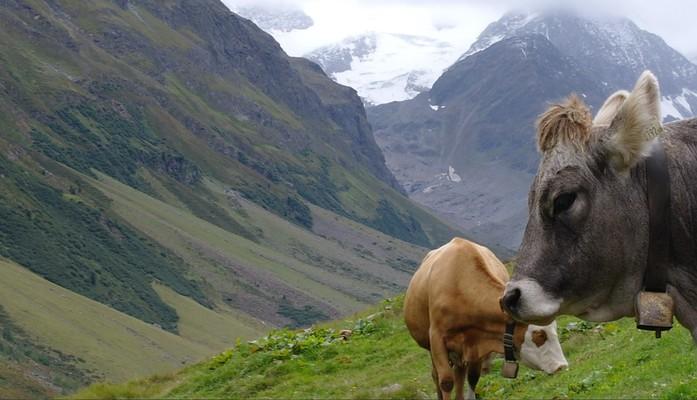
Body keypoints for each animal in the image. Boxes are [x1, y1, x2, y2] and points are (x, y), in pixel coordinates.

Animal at [402, 239, 564, 398]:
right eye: (540, 335)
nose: (561, 366)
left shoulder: (477, 341)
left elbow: (472, 377)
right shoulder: (437, 338)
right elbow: (446, 382)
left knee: (459, 373)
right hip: (430, 346)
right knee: (436, 376)